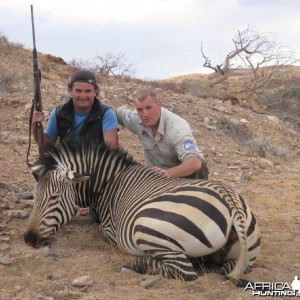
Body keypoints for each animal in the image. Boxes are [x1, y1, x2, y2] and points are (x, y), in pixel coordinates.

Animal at [24, 140, 260, 286]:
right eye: (34, 195)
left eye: (54, 197)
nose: (29, 238)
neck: (109, 182)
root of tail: (231, 202)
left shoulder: (109, 229)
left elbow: (102, 230)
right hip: (244, 258)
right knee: (222, 268)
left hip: (145, 228)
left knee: (185, 271)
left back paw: (137, 264)